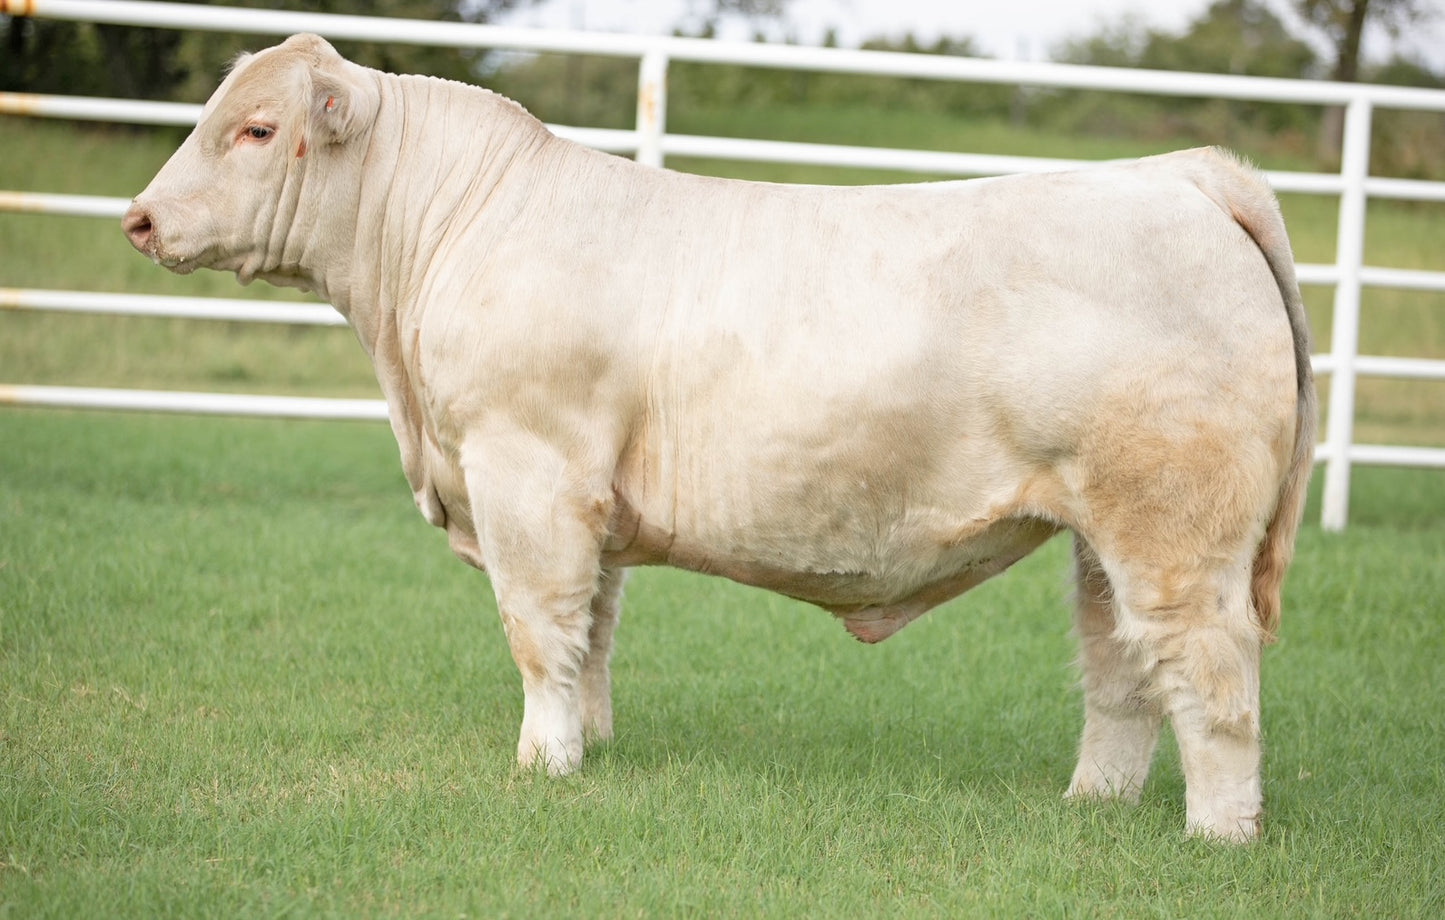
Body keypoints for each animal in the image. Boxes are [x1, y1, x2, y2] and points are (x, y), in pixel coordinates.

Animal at [123, 34, 1316, 842]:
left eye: (257, 129)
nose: (137, 217)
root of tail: (1181, 173)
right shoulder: (587, 497)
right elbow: (592, 631)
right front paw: (591, 747)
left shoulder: (525, 470)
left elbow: (535, 629)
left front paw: (541, 765)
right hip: (1102, 530)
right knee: (1120, 669)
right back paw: (1088, 806)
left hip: (1173, 525)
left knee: (1210, 672)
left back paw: (1215, 835)